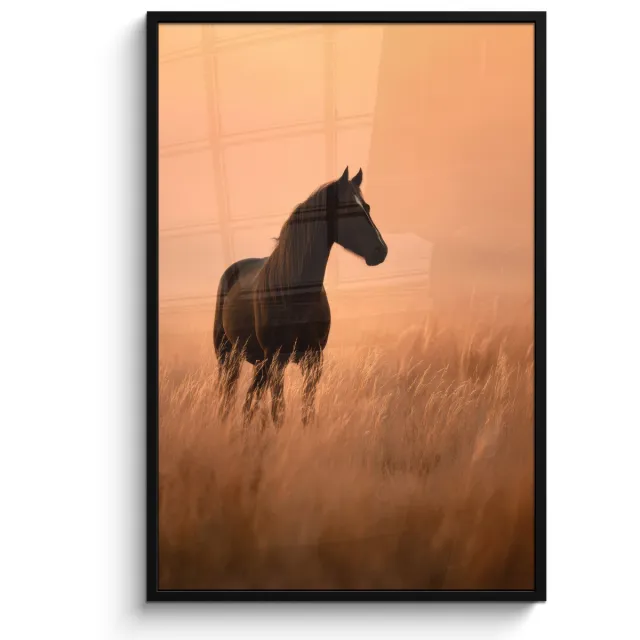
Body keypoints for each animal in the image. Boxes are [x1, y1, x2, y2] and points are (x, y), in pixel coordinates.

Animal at [213, 166, 388, 428]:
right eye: (349, 208)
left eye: (367, 207)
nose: (381, 250)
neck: (294, 294)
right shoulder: (278, 360)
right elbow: (279, 412)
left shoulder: (313, 359)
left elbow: (307, 411)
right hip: (229, 356)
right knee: (229, 397)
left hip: (258, 362)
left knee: (249, 401)